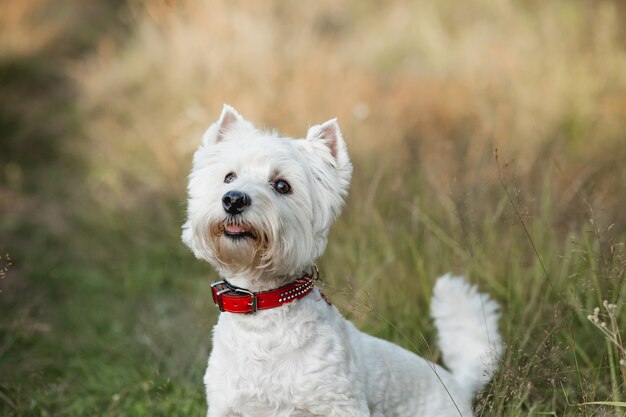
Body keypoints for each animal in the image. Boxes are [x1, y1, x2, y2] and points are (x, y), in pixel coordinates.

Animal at [182, 105, 502, 416]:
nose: (233, 199)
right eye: (229, 177)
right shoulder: (227, 407)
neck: (262, 310)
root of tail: (459, 385)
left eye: (282, 185)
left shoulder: (338, 403)